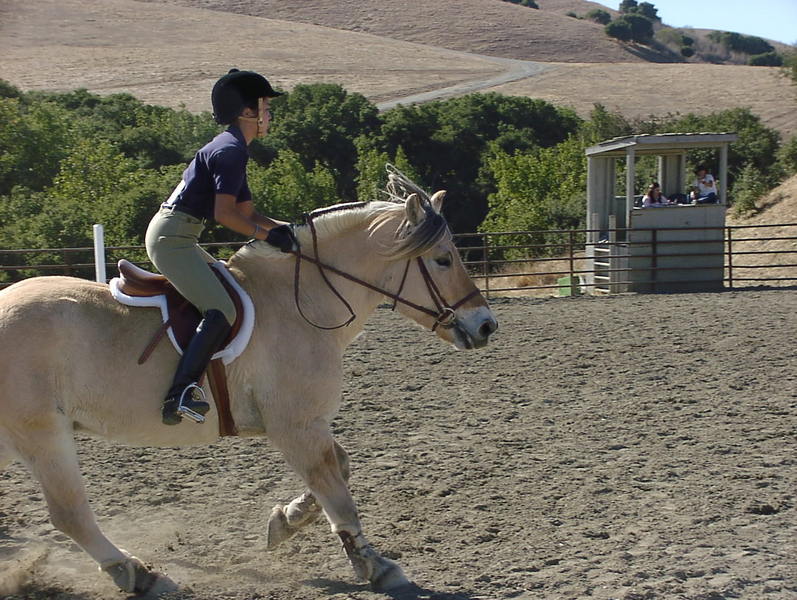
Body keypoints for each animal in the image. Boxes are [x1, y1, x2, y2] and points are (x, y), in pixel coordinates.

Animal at [0, 172, 498, 594]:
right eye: (442, 259)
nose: (487, 326)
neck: (300, 303)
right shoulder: (295, 425)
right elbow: (337, 491)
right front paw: (375, 566)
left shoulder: (302, 425)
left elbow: (338, 469)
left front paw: (287, 520)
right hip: (42, 434)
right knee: (70, 513)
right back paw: (136, 573)